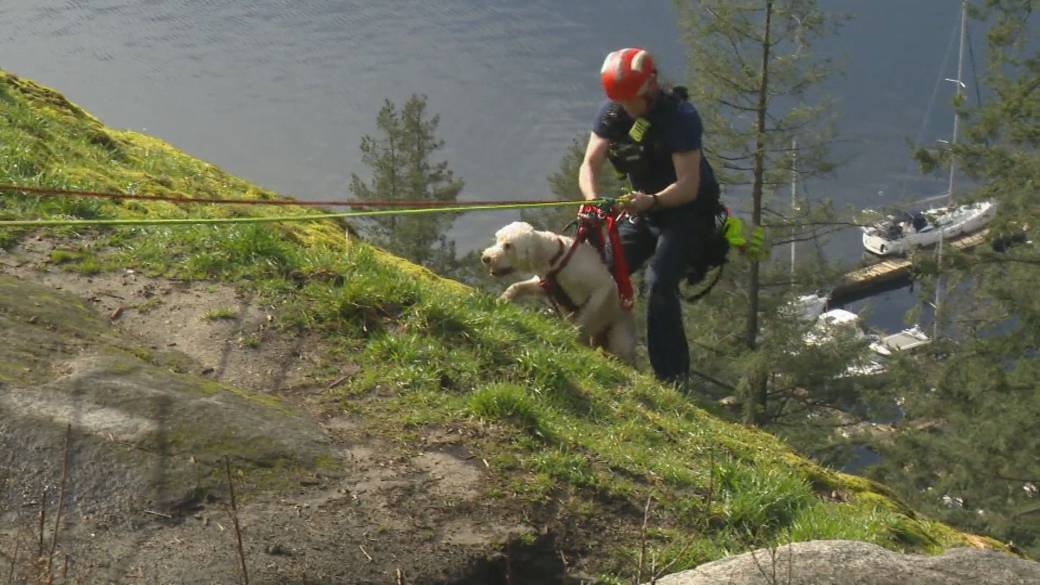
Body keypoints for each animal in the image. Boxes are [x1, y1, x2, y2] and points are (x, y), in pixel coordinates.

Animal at [478, 220, 632, 362]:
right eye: (498, 240)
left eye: (508, 245)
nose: (486, 258)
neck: (557, 258)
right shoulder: (543, 284)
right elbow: (517, 286)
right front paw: (503, 299)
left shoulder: (601, 287)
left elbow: (586, 314)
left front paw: (573, 333)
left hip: (619, 338)